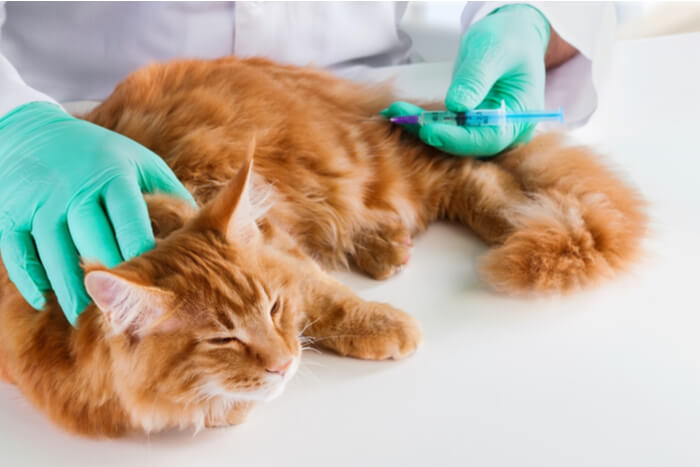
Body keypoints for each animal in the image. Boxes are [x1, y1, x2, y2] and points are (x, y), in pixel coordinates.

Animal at [0, 56, 644, 436]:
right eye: (222, 340)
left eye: (271, 309)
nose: (283, 363)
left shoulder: (282, 256)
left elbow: (328, 299)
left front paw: (382, 326)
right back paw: (386, 247)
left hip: (364, 166)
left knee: (469, 174)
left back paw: (506, 220)